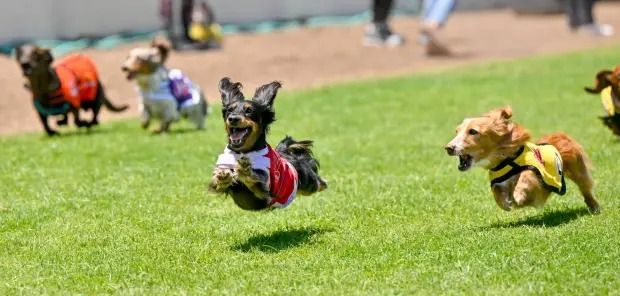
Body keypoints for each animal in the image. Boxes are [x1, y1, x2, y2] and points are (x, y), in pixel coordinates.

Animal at [446, 107, 600, 214]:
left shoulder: (536, 173)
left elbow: (526, 176)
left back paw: (594, 207)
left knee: (586, 189)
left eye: (473, 131)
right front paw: (506, 203)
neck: (505, 160)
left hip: (578, 171)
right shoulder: (499, 182)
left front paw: (518, 195)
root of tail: (561, 134)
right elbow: (496, 191)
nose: (448, 148)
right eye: (457, 131)